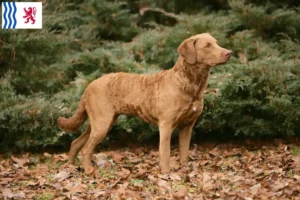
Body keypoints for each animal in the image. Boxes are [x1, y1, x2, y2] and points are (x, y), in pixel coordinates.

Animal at [58, 32, 232, 173]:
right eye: (207, 46)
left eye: (217, 43)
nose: (229, 52)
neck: (188, 84)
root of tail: (89, 86)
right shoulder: (166, 125)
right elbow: (165, 153)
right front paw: (166, 174)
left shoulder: (187, 126)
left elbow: (184, 153)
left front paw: (184, 171)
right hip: (102, 123)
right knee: (86, 148)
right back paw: (88, 170)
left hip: (99, 122)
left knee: (76, 142)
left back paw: (71, 167)